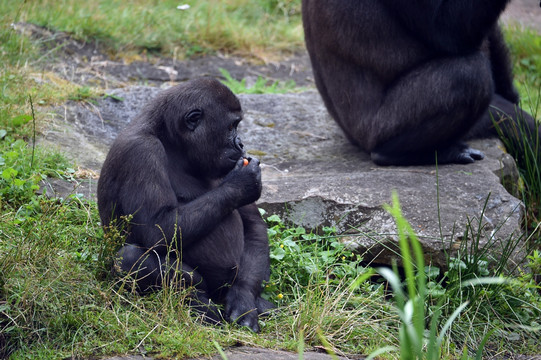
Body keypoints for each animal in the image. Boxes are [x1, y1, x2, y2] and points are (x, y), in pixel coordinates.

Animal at [97, 78, 272, 332]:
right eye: (231, 126)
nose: (241, 144)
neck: (172, 139)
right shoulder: (141, 150)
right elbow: (157, 229)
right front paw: (241, 183)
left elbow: (253, 226)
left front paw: (244, 300)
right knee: (128, 258)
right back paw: (198, 302)